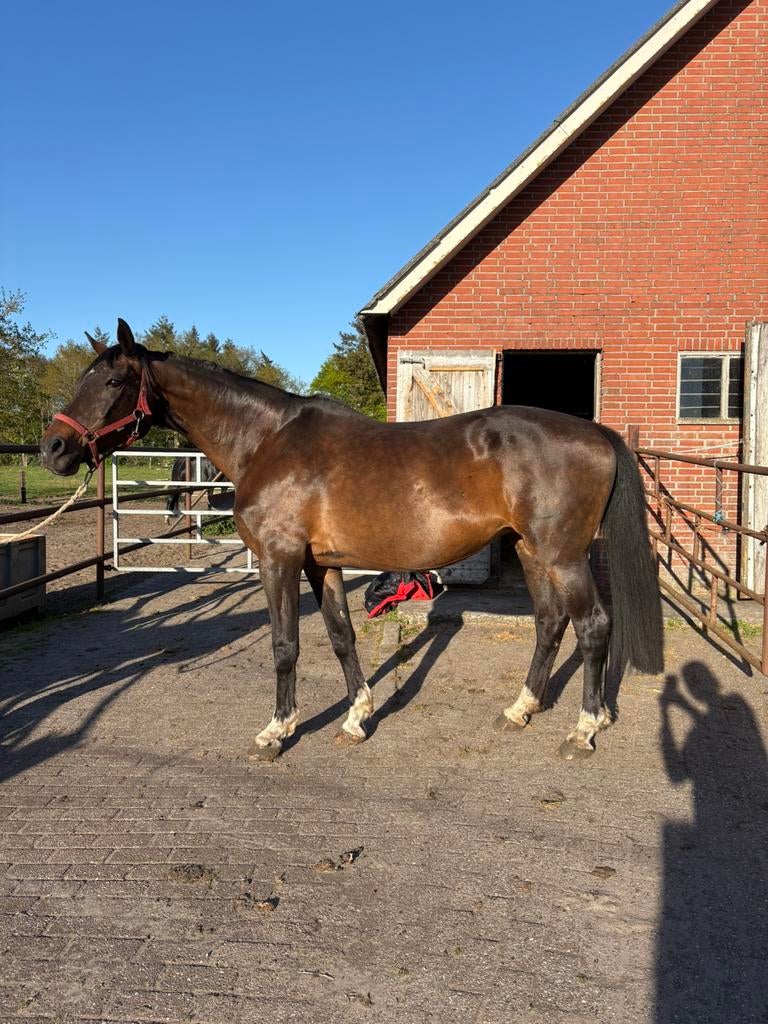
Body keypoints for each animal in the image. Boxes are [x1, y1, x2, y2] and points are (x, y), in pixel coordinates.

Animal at [40, 319, 663, 762]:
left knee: (592, 627)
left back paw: (583, 730)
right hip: (533, 553)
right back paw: (520, 709)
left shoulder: (279, 560)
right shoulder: (323, 565)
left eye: (114, 381)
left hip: (564, 557)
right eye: (84, 378)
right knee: (550, 624)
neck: (267, 440)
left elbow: (285, 645)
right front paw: (357, 718)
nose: (53, 448)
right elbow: (342, 637)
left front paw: (277, 731)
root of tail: (596, 432)